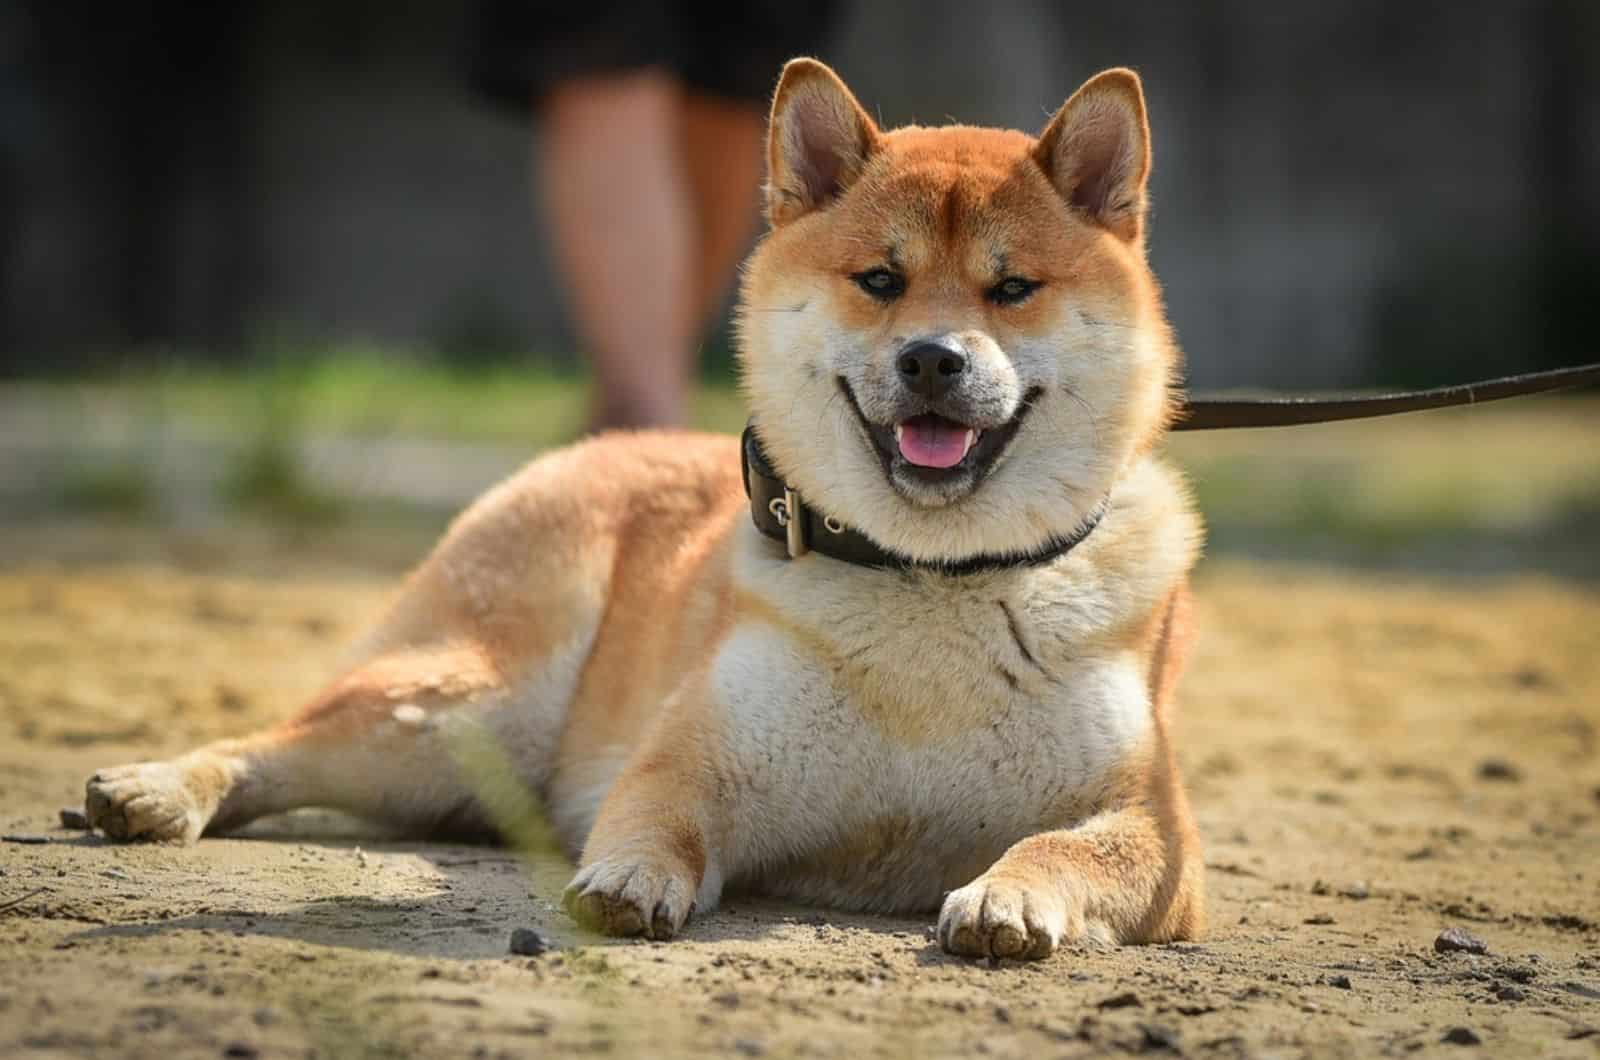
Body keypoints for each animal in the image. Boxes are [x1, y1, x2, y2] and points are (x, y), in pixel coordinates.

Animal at [84, 60, 1203, 960]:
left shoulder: (1159, 832)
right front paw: (631, 878)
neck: (931, 580)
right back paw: (158, 789)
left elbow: (1064, 845)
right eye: (880, 280)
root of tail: (596, 447)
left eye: (1012, 289)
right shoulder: (695, 751)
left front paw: (1008, 898)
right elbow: (659, 810)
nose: (933, 359)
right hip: (464, 704)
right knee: (275, 747)